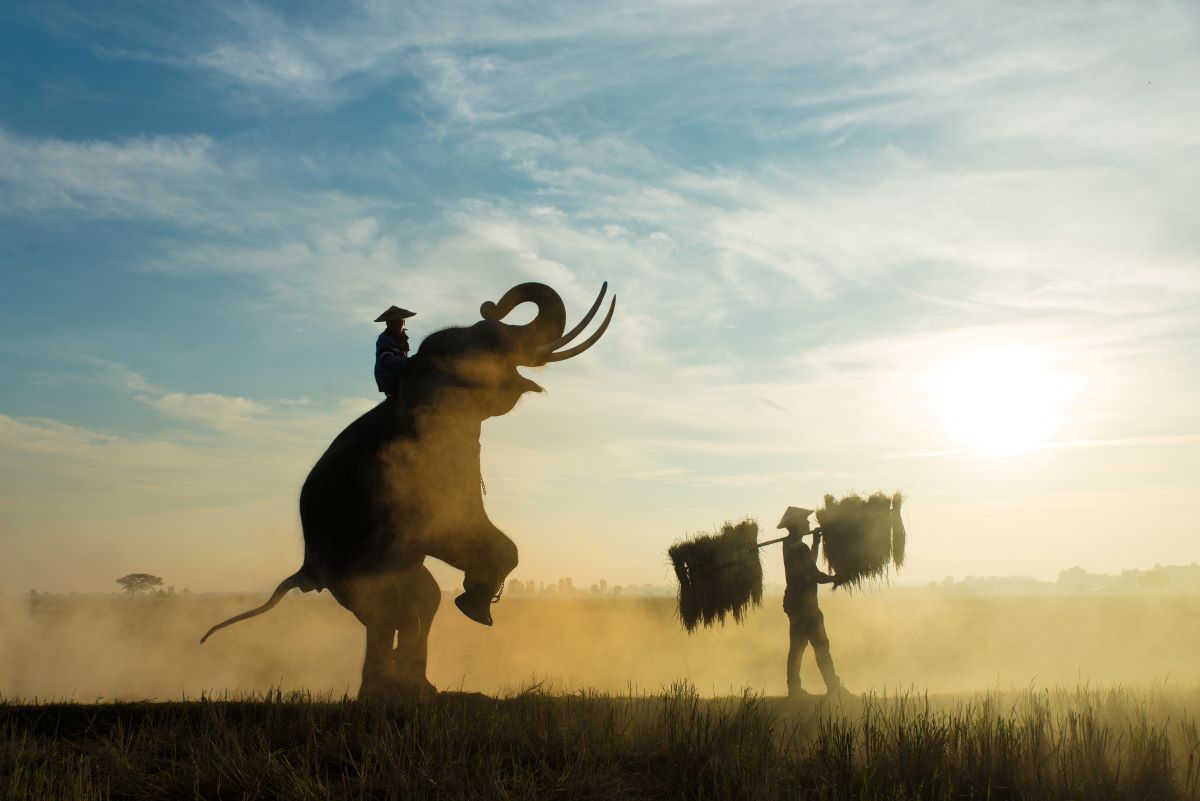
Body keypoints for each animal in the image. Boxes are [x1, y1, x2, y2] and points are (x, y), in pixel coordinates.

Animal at [201, 281, 614, 695]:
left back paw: (418, 688)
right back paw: (383, 692)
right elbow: (455, 530)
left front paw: (473, 603)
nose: (490, 305)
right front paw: (475, 608)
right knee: (389, 610)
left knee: (422, 599)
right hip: (349, 570)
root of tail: (305, 571)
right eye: (487, 341)